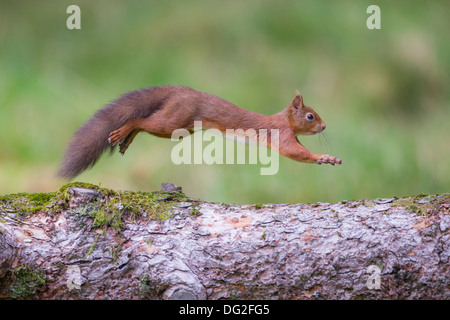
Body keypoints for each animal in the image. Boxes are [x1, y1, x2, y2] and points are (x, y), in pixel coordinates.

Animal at [58, 85, 342, 179]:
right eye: (310, 116)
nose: (324, 127)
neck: (285, 120)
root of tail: (179, 92)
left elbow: (299, 152)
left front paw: (327, 158)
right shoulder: (281, 135)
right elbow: (296, 153)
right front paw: (324, 158)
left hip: (180, 127)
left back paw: (126, 140)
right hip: (173, 121)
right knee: (140, 120)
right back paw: (123, 132)